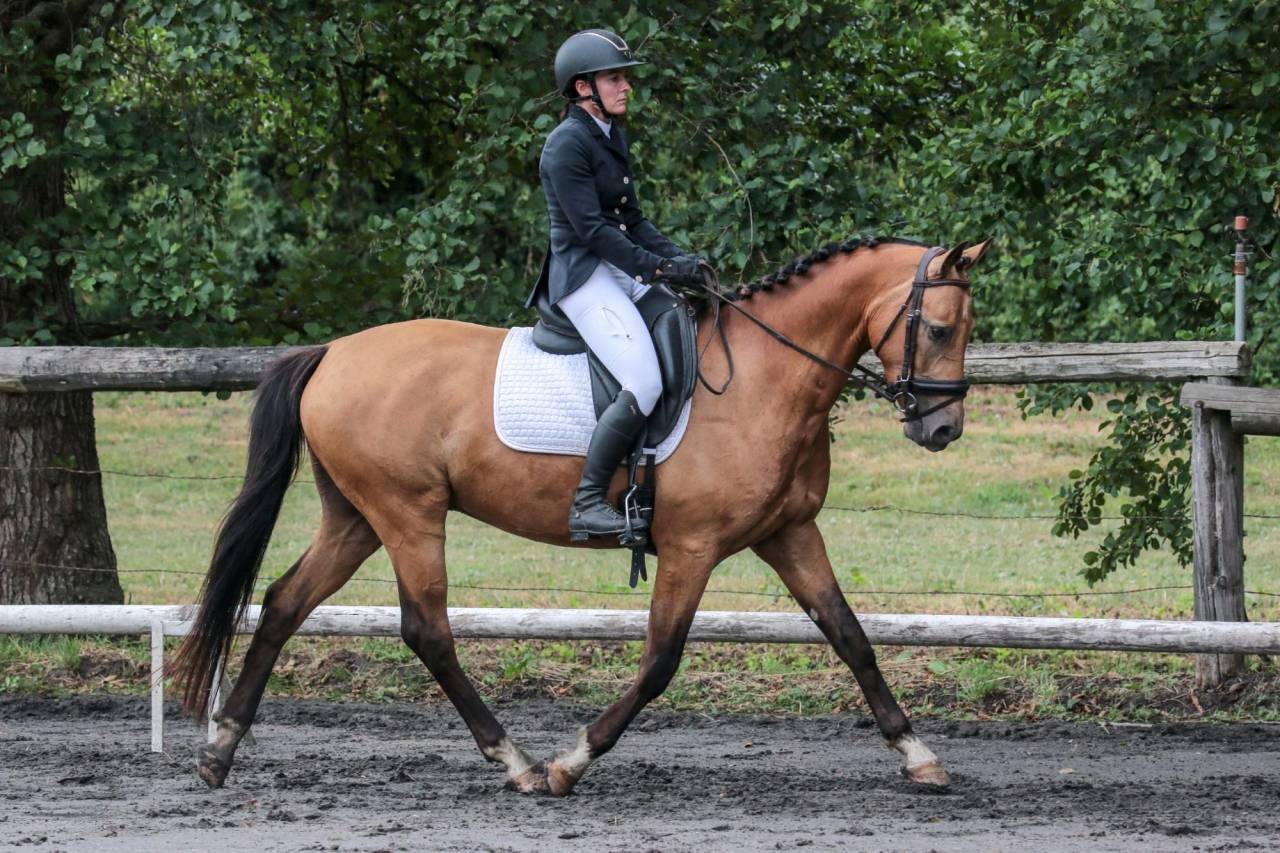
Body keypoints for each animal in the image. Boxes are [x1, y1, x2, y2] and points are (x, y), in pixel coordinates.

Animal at [172, 235, 990, 796]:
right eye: (940, 328)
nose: (942, 430)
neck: (764, 378)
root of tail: (333, 352)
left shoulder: (790, 533)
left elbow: (852, 637)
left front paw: (920, 757)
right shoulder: (692, 546)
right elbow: (659, 660)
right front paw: (573, 760)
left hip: (356, 517)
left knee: (285, 602)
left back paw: (220, 750)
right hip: (407, 513)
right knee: (426, 630)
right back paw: (519, 762)